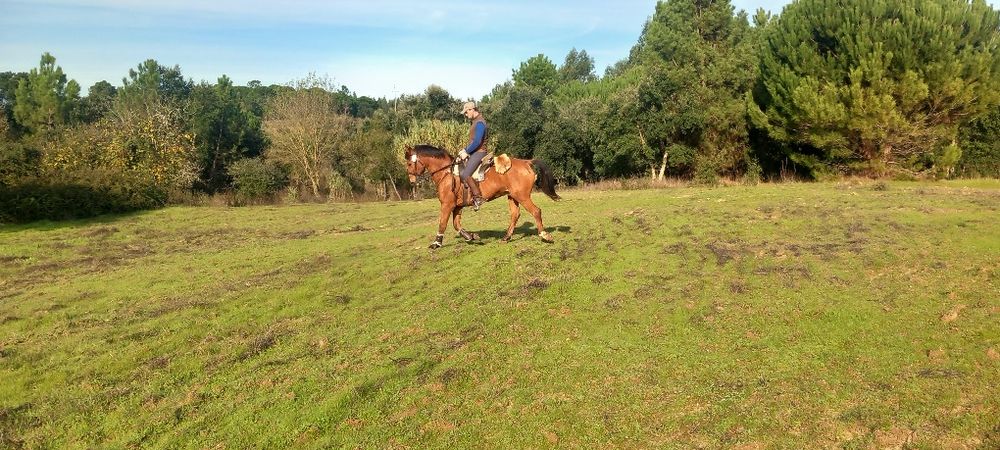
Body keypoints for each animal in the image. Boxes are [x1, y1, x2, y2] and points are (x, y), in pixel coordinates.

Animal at [404, 144, 561, 249]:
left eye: (410, 163)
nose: (411, 181)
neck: (446, 173)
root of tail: (526, 162)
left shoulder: (447, 205)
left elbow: (443, 223)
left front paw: (436, 243)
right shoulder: (457, 206)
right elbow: (456, 224)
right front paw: (470, 236)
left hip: (522, 196)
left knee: (536, 211)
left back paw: (544, 235)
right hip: (512, 196)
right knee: (515, 215)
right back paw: (506, 237)